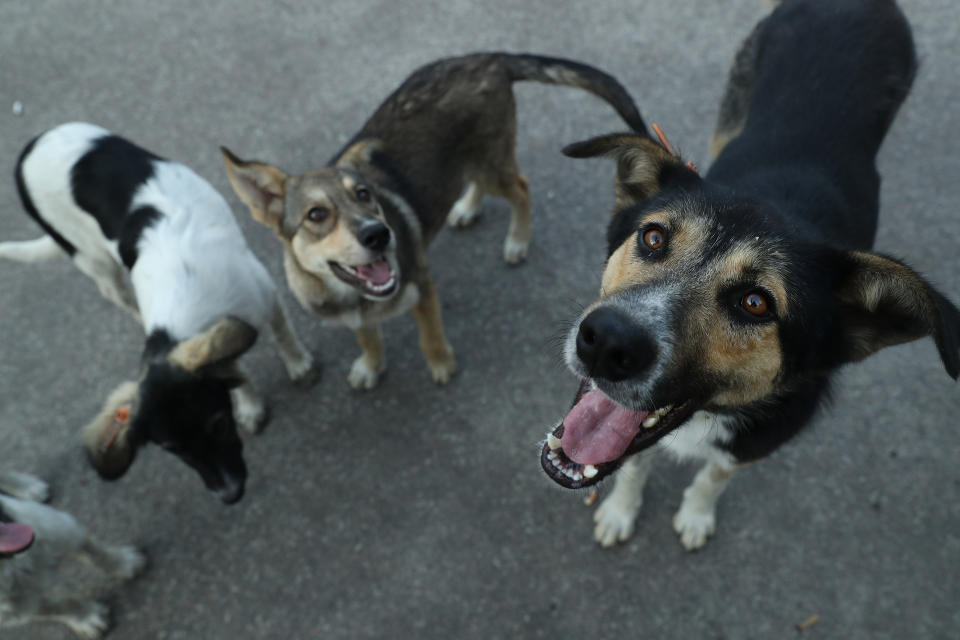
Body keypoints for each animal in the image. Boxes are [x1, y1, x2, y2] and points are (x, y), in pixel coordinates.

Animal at [0, 124, 316, 504]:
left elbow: (281, 333)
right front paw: (250, 403)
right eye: (173, 450)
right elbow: (234, 366)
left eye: (219, 425)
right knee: (119, 294)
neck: (181, 321)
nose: (230, 495)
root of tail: (27, 152)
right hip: (95, 263)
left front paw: (298, 364)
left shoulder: (262, 291)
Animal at [0, 468, 146, 636]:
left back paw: (27, 486)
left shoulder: (59, 527)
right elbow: (54, 607)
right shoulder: (15, 610)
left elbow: (94, 552)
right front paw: (86, 617)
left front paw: (122, 562)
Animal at [222, 51, 648, 390]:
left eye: (364, 195)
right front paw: (371, 366)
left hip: (491, 161)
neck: (353, 293)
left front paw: (442, 364)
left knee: (521, 188)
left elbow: (429, 335)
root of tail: (489, 58)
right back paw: (467, 207)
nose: (379, 236)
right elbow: (368, 338)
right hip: (469, 162)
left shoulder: (422, 288)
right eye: (316, 214)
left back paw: (517, 240)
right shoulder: (354, 315)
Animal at [540, 0, 960, 552]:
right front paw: (620, 510)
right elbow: (633, 463)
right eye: (653, 238)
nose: (607, 341)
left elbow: (713, 475)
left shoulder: (755, 443)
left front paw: (695, 514)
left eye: (755, 302)